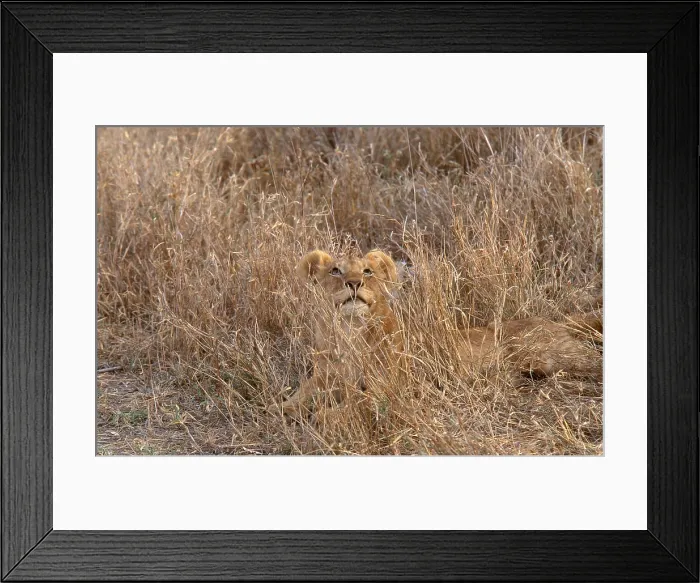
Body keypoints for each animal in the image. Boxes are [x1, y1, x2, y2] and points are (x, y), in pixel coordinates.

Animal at [282, 248, 602, 418]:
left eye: (367, 271)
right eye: (335, 271)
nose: (354, 283)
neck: (350, 332)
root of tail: (554, 320)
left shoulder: (389, 388)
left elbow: (352, 405)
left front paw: (322, 416)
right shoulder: (325, 377)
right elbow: (293, 400)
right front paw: (286, 409)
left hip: (553, 356)